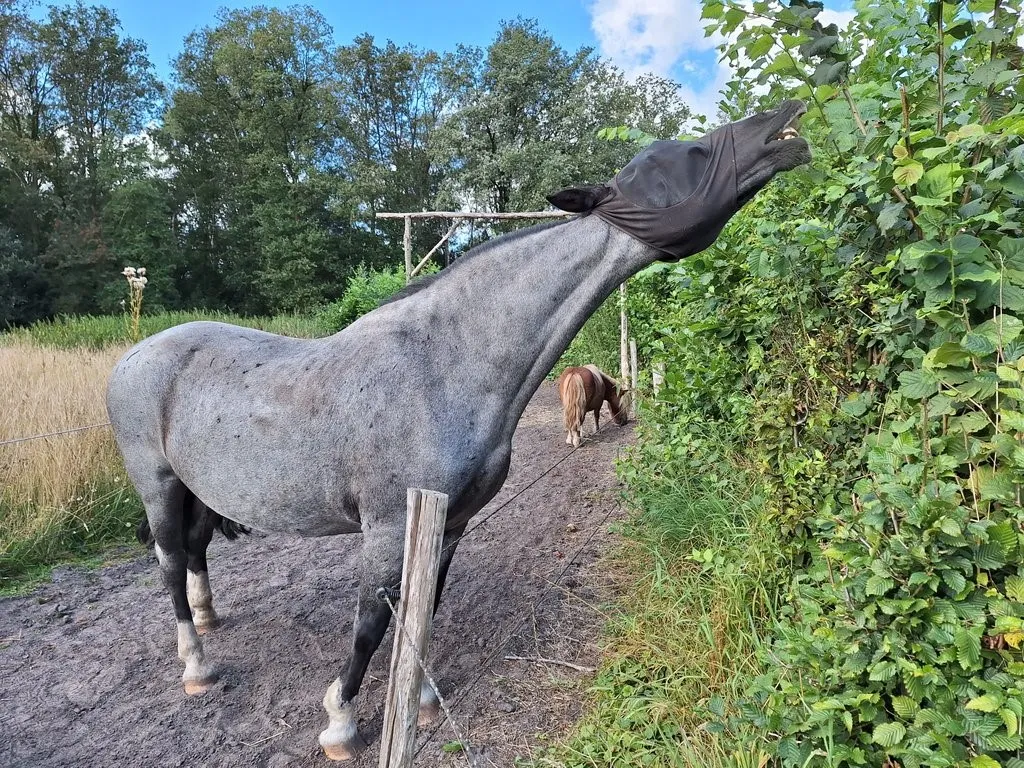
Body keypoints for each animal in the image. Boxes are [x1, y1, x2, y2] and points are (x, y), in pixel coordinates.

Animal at [103, 99, 806, 761]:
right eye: (690, 154)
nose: (785, 122)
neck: (444, 364)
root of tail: (134, 356)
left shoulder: (450, 523)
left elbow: (425, 611)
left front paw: (420, 700)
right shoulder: (389, 527)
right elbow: (372, 622)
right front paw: (341, 722)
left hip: (198, 488)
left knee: (195, 551)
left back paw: (208, 619)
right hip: (158, 485)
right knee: (170, 562)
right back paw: (197, 665)